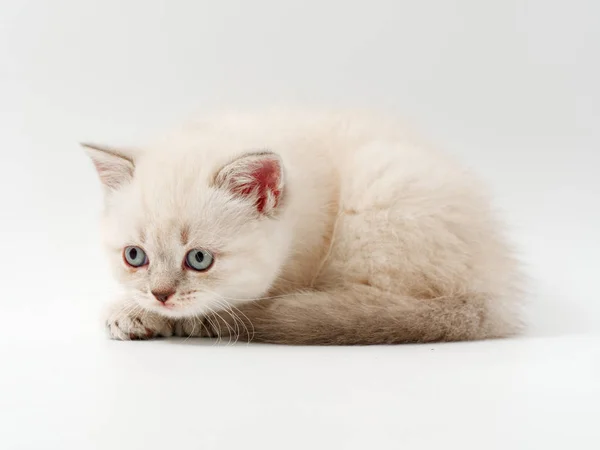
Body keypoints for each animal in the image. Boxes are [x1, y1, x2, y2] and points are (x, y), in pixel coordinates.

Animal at [82, 110, 524, 344]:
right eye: (134, 256)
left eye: (199, 259)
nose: (161, 296)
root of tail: (495, 286)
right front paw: (135, 310)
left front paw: (148, 314)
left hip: (379, 193)